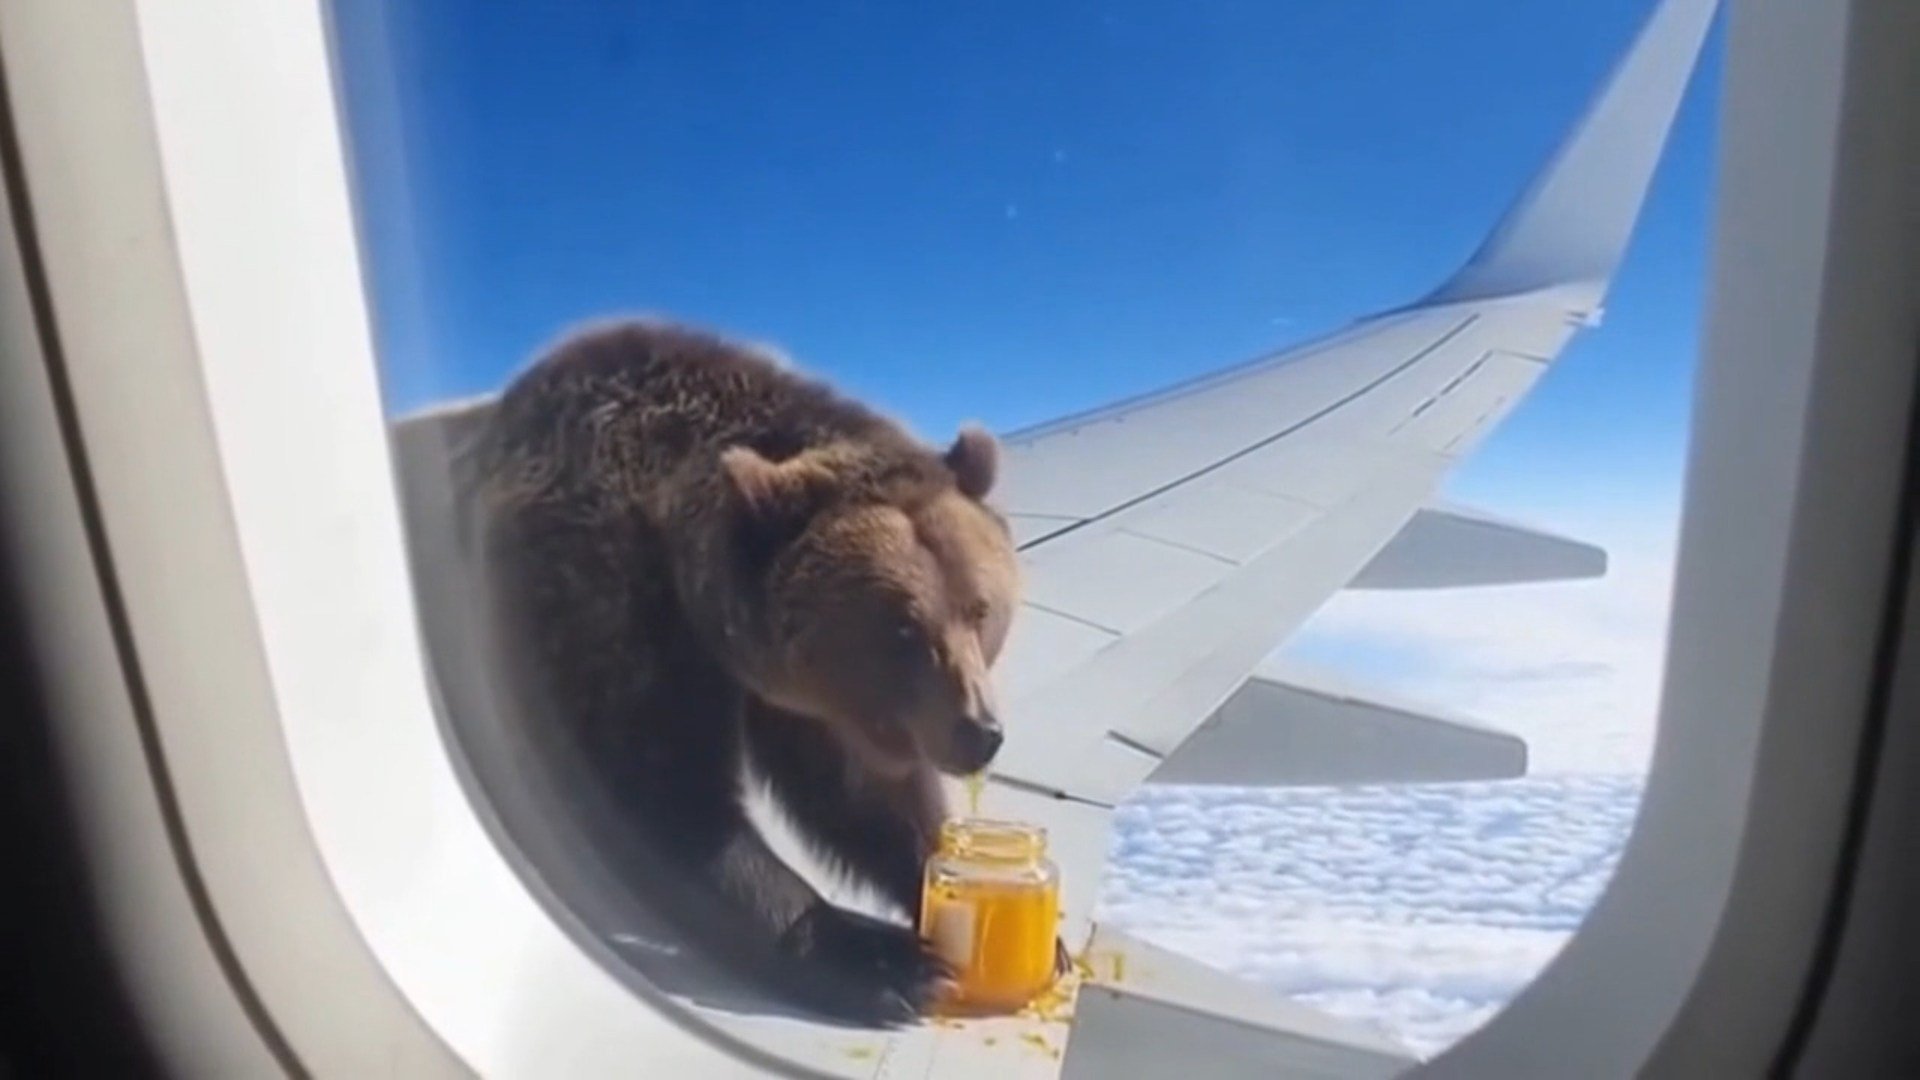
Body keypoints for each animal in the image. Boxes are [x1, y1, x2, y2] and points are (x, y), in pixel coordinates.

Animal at [461, 317, 1044, 1023]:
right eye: (902, 627)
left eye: (979, 609)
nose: (978, 732)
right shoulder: (604, 603)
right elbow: (667, 794)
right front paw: (886, 963)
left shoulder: (807, 692)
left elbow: (856, 793)